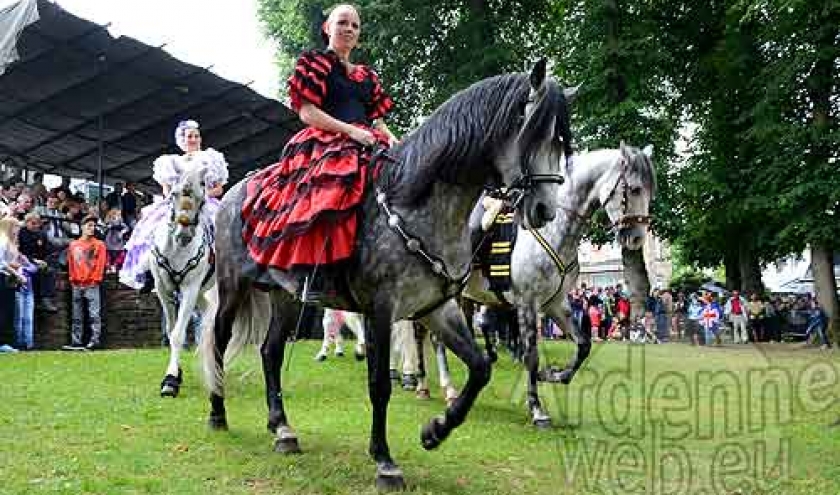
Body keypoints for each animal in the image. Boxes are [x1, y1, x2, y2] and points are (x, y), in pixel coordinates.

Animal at [153, 168, 217, 400]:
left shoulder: (190, 289)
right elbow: (171, 330)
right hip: (201, 293)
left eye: (202, 198)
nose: (183, 235)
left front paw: (170, 379)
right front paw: (175, 375)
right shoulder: (163, 289)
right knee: (209, 315)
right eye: (174, 194)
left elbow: (178, 334)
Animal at [198, 60, 576, 490]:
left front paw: (435, 431)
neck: (414, 203)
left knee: (270, 352)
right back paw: (218, 412)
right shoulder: (380, 309)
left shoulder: (436, 308)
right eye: (532, 132)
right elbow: (379, 384)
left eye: (560, 143)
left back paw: (282, 429)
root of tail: (233, 193)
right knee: (219, 341)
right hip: (232, 287)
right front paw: (384, 459)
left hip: (287, 296)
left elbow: (480, 369)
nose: (545, 210)